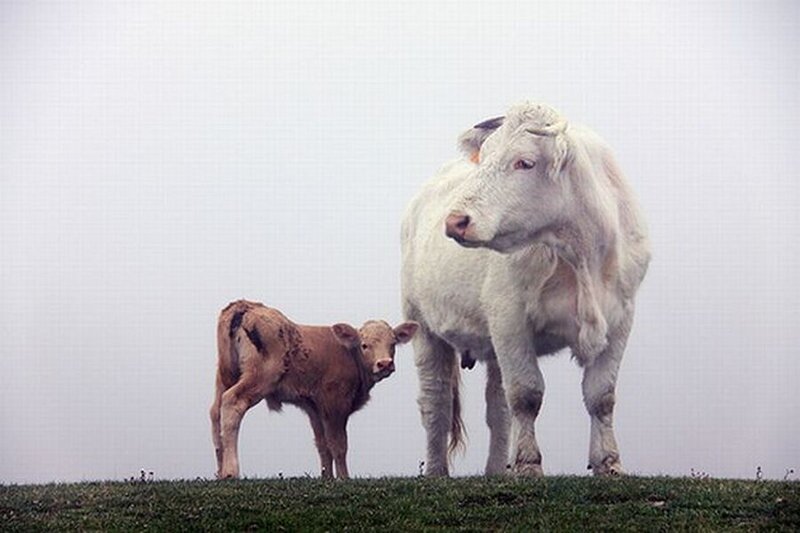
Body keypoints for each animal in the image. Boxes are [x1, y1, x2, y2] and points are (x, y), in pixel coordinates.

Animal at [210, 299, 418, 479]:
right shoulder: (335, 402)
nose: (384, 364)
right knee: (232, 402)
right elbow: (338, 444)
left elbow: (323, 444)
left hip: (225, 376)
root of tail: (246, 306)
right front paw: (344, 478)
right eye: (364, 345)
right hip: (261, 376)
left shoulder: (315, 407)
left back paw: (220, 470)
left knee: (215, 412)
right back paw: (231, 471)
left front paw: (327, 478)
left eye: (393, 344)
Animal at [401, 102, 650, 477]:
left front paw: (609, 464)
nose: (455, 221)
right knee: (436, 401)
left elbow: (601, 395)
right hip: (422, 325)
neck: (581, 255)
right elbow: (526, 394)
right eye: (485, 156)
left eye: (524, 162)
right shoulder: (509, 318)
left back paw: (496, 471)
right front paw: (529, 465)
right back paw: (436, 472)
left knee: (496, 408)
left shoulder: (621, 318)